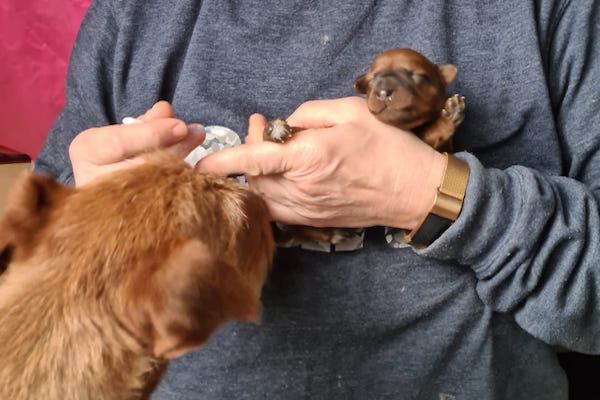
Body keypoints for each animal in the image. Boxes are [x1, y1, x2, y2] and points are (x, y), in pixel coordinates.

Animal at [264, 48, 466, 245]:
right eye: (372, 79)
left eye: (415, 75)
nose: (383, 92)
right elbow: (303, 128)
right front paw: (274, 128)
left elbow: (433, 132)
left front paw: (448, 116)